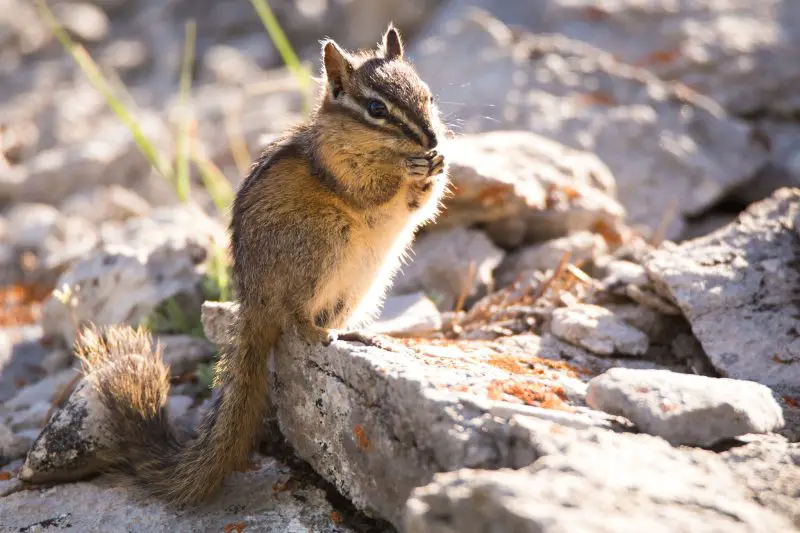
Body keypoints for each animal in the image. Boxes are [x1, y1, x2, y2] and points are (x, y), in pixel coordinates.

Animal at [68, 24, 448, 505]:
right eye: (376, 108)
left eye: (428, 94)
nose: (431, 140)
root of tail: (253, 304)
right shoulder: (342, 168)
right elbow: (372, 191)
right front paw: (411, 170)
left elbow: (421, 205)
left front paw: (438, 165)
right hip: (319, 249)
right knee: (296, 321)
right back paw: (321, 333)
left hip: (361, 285)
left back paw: (360, 333)